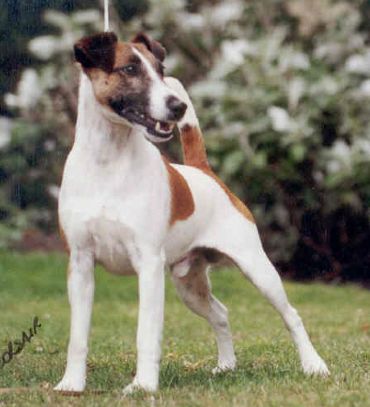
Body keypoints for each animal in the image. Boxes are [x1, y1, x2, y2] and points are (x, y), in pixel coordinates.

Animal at [54, 31, 330, 396]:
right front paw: (72, 383)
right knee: (221, 313)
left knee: (292, 315)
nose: (178, 106)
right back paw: (226, 365)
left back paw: (314, 365)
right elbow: (78, 336)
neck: (107, 164)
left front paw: (143, 386)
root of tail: (206, 173)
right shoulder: (81, 264)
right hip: (189, 285)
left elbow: (146, 334)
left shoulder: (149, 266)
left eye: (160, 70)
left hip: (258, 269)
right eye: (129, 69)